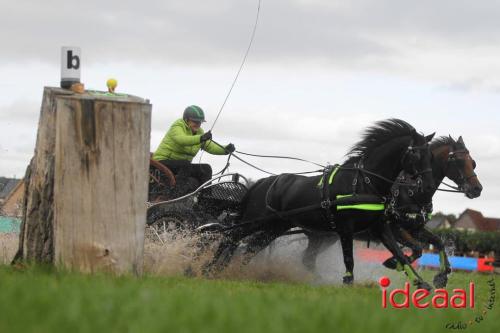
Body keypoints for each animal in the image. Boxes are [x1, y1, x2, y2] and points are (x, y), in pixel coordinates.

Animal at [205, 119, 436, 288]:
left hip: (276, 226)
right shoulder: (345, 228)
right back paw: (211, 269)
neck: (363, 182)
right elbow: (349, 259)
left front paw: (420, 282)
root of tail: (262, 182)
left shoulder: (381, 227)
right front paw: (348, 281)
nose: (428, 185)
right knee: (231, 237)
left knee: (251, 246)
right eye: (416, 152)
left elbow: (400, 254)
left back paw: (236, 272)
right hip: (256, 220)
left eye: (430, 155)